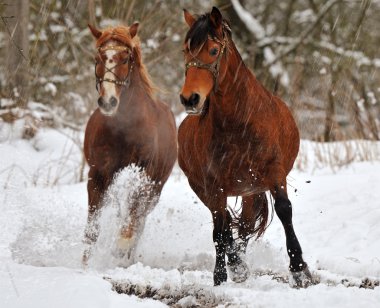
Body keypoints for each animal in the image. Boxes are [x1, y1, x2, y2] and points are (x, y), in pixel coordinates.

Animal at [83, 23, 177, 264]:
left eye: (125, 59)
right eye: (97, 58)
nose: (108, 102)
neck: (124, 129)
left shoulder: (144, 175)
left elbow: (132, 222)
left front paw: (121, 249)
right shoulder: (98, 173)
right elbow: (92, 230)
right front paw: (85, 264)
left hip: (156, 188)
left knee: (139, 221)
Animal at [177, 6, 314, 288]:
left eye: (213, 51)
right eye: (185, 50)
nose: (190, 98)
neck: (239, 122)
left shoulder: (274, 173)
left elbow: (284, 210)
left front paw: (299, 269)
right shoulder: (213, 184)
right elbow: (220, 230)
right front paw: (220, 276)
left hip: (252, 189)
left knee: (245, 223)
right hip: (205, 189)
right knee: (226, 223)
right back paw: (236, 265)